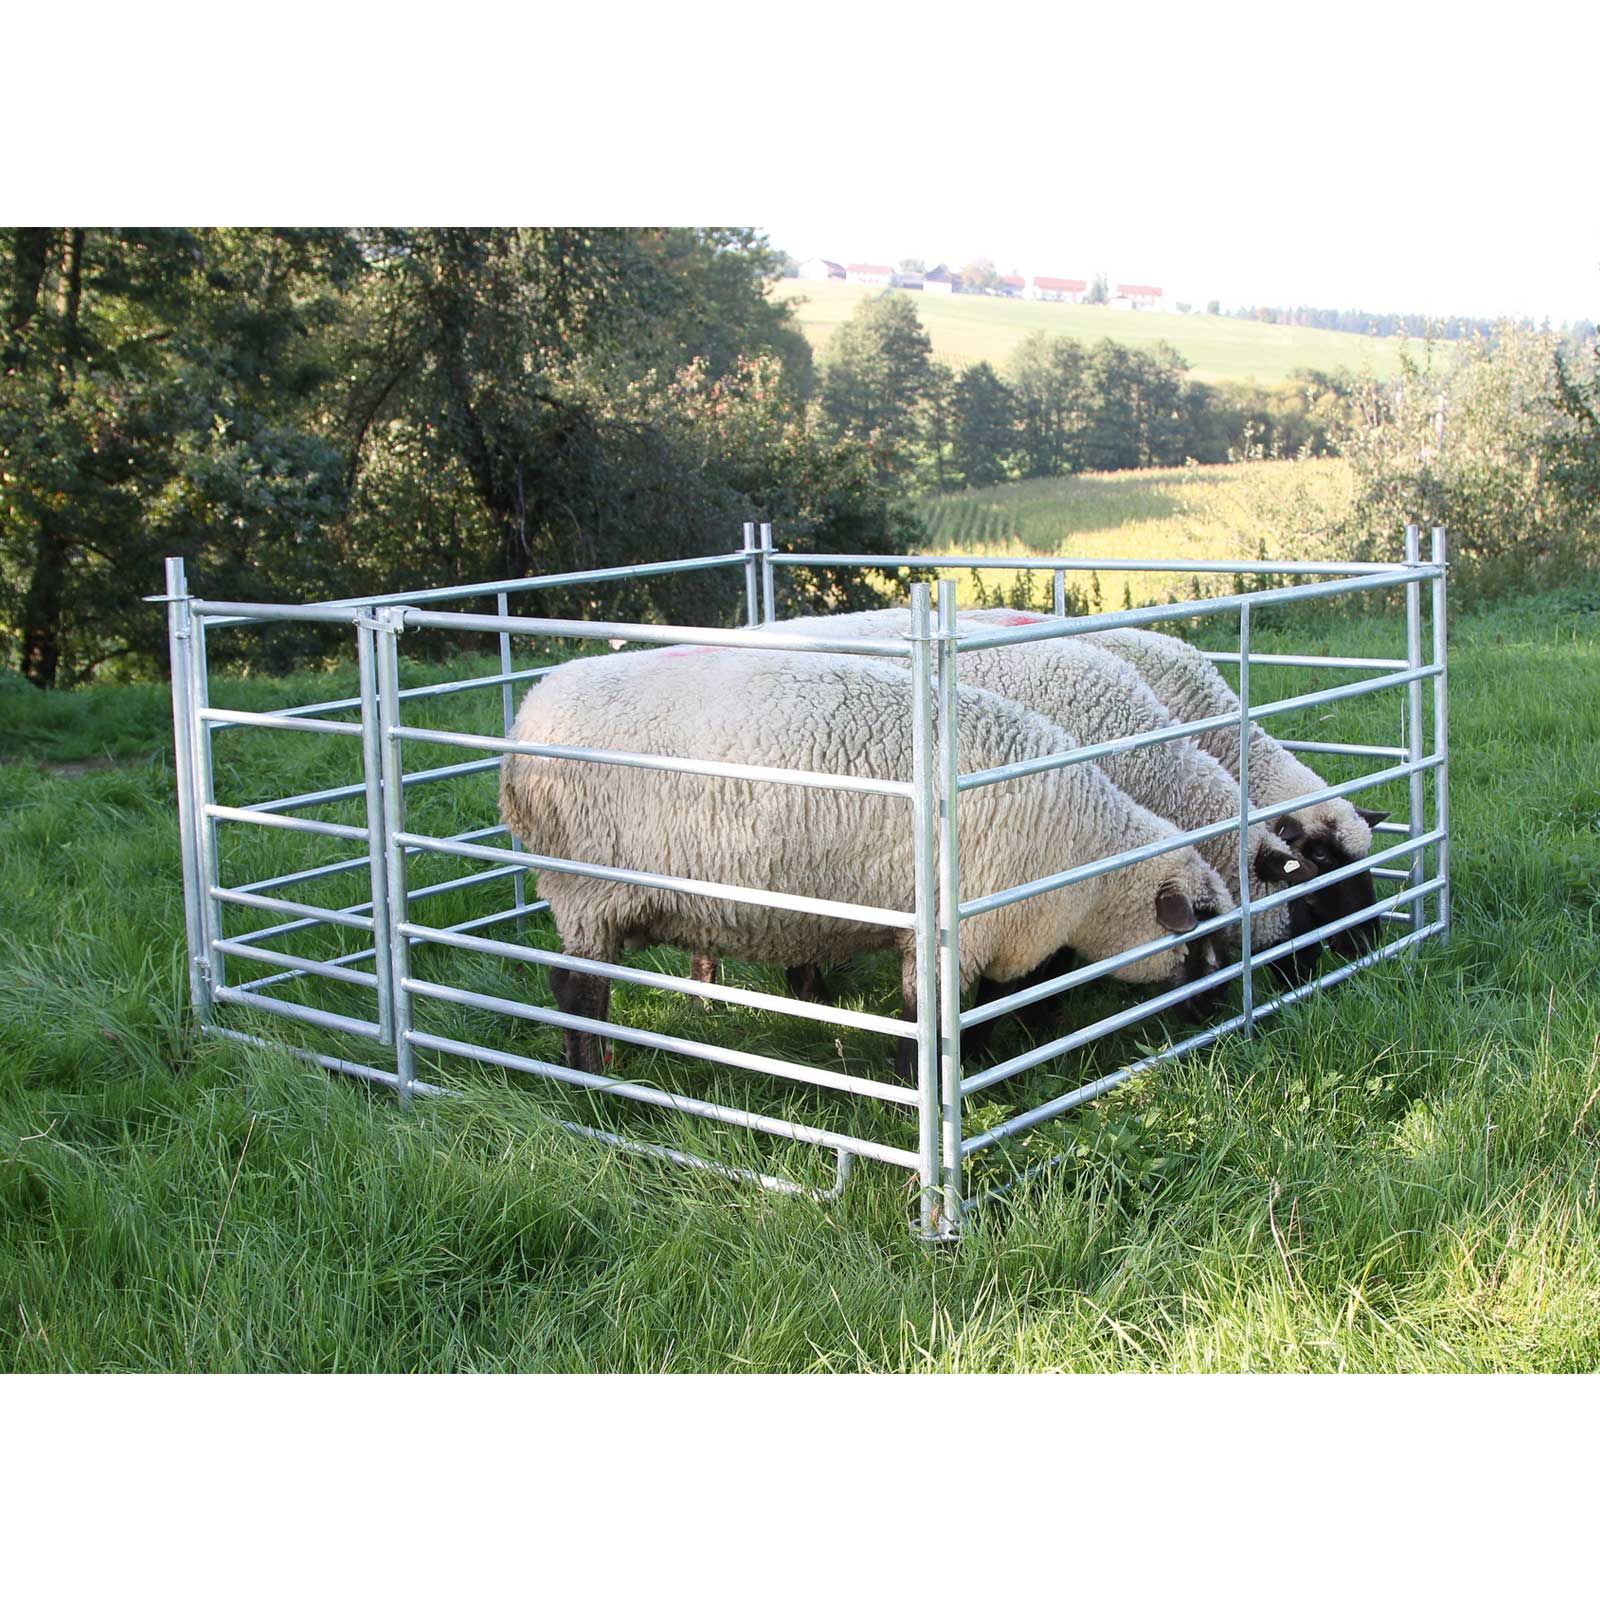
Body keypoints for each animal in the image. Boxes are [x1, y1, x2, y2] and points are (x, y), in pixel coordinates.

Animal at [499, 645, 1232, 1079]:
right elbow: (931, 1021)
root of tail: (524, 719)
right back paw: (590, 1082)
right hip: (587, 889)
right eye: (1203, 933)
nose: (1220, 1016)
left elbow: (992, 1002)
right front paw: (927, 1086)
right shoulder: (958, 930)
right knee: (576, 989)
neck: (1088, 861)